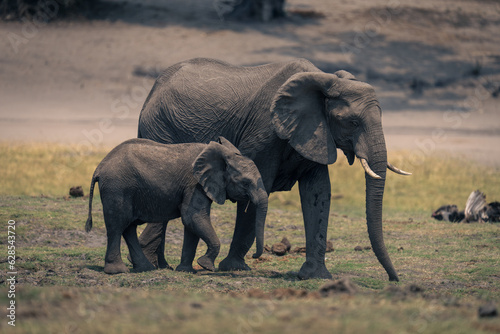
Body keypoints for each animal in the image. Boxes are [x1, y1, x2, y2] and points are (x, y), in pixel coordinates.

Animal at [84, 137, 268, 276]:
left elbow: (192, 224)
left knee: (128, 227)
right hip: (117, 187)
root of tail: (99, 167)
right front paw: (206, 266)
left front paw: (185, 271)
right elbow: (193, 216)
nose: (255, 255)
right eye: (245, 183)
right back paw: (118, 271)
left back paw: (145, 269)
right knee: (117, 225)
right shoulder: (194, 184)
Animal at [135, 58, 408, 282]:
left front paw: (315, 276)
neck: (325, 80)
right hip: (159, 127)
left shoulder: (315, 132)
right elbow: (261, 186)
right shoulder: (264, 133)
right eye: (353, 122)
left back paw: (160, 265)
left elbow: (318, 193)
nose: (394, 279)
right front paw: (234, 268)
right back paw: (152, 264)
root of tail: (154, 87)